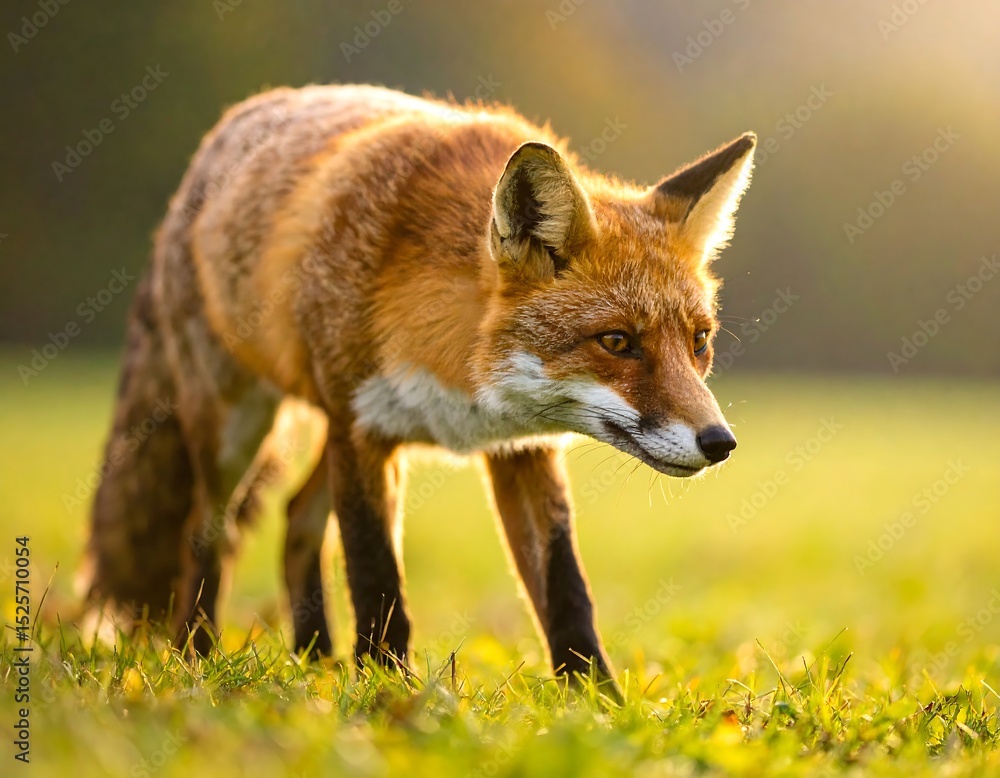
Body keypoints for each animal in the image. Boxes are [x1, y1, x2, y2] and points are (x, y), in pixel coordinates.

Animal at [84, 84, 756, 694]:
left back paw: (314, 659)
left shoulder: (522, 449)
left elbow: (567, 590)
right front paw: (387, 691)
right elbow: (375, 575)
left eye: (699, 341)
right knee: (207, 530)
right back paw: (195, 654)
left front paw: (596, 699)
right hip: (237, 428)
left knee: (297, 517)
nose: (720, 442)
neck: (464, 384)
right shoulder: (363, 432)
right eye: (616, 342)